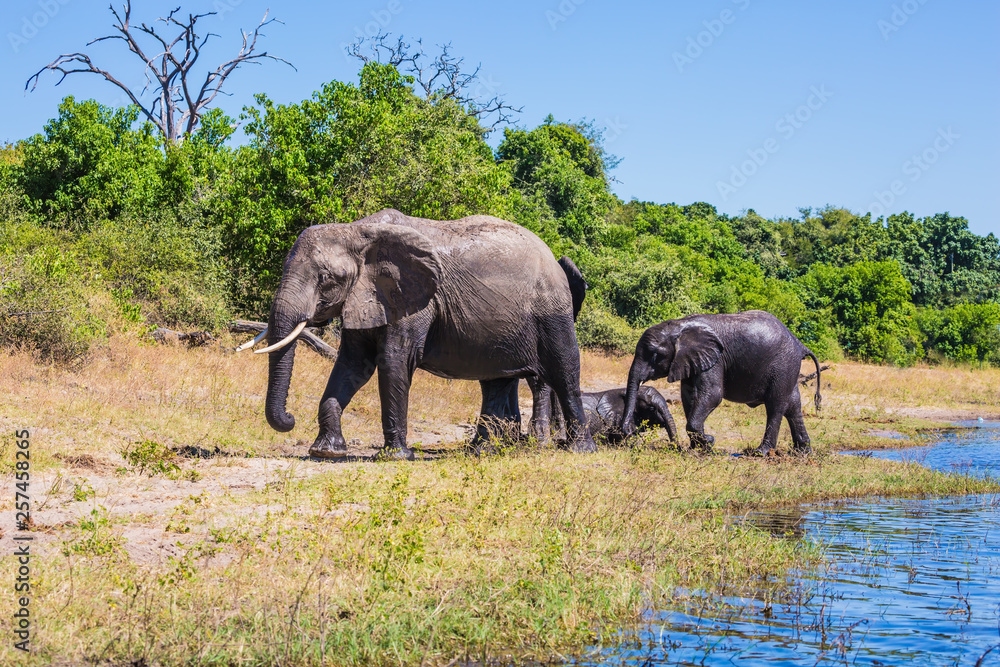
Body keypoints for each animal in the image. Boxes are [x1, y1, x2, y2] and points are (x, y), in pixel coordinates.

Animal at [241, 208, 596, 460]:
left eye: (327, 278)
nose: (290, 418)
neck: (357, 230)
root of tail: (555, 259)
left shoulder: (412, 300)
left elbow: (393, 361)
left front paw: (395, 457)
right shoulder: (367, 296)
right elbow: (352, 366)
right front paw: (325, 452)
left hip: (551, 311)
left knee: (564, 370)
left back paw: (579, 450)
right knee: (496, 380)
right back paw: (482, 451)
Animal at [620, 311, 822, 456]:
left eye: (655, 355)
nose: (628, 431)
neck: (679, 325)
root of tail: (799, 344)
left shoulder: (716, 359)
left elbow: (713, 394)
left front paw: (708, 441)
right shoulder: (692, 360)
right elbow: (688, 397)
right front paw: (697, 449)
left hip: (782, 365)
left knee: (775, 406)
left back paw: (760, 453)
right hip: (789, 368)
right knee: (793, 406)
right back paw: (802, 453)